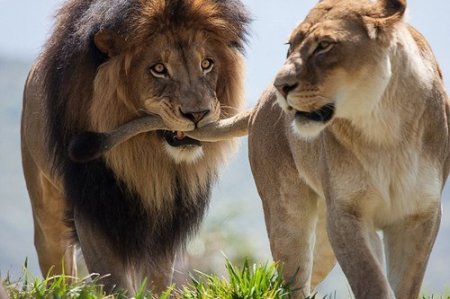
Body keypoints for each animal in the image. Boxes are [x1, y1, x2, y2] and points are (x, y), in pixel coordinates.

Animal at [21, 0, 250, 296]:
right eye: (159, 69)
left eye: (206, 64)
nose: (198, 114)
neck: (145, 158)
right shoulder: (95, 208)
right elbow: (114, 282)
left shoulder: (168, 219)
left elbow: (160, 280)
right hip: (46, 211)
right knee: (58, 269)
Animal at [248, 0, 448, 298]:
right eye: (290, 45)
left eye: (324, 45)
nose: (280, 86)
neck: (385, 128)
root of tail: (260, 101)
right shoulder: (346, 213)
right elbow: (371, 281)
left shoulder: (420, 216)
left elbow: (404, 285)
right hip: (288, 218)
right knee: (292, 281)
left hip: (324, 238)